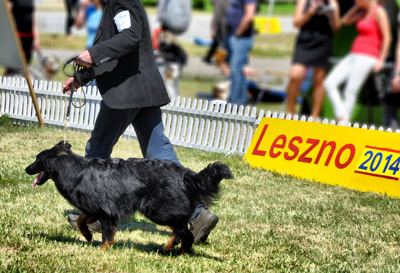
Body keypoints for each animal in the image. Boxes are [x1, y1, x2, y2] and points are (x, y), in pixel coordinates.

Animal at [25, 140, 233, 253]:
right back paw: (179, 251)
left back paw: (168, 247)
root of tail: (186, 174)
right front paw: (87, 234)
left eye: (36, 160)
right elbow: (81, 219)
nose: (26, 169)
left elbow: (107, 235)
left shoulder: (106, 212)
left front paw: (102, 250)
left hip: (157, 210)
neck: (73, 169)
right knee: (186, 234)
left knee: (181, 228)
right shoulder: (94, 209)